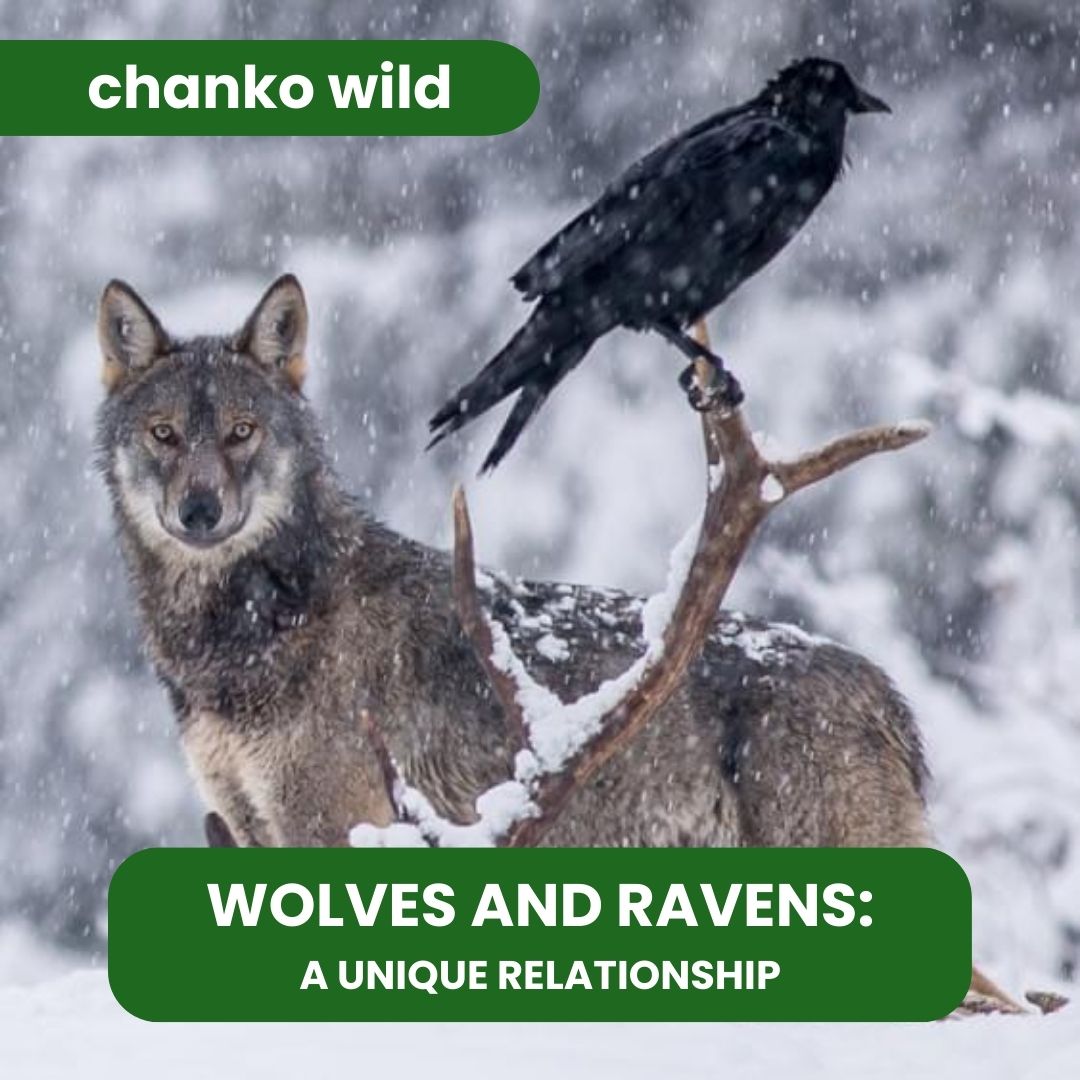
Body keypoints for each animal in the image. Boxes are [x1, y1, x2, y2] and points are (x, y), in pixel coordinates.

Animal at [95, 273, 930, 852]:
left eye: (243, 431)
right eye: (164, 433)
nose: (200, 512)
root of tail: (887, 696)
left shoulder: (337, 822)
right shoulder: (243, 819)